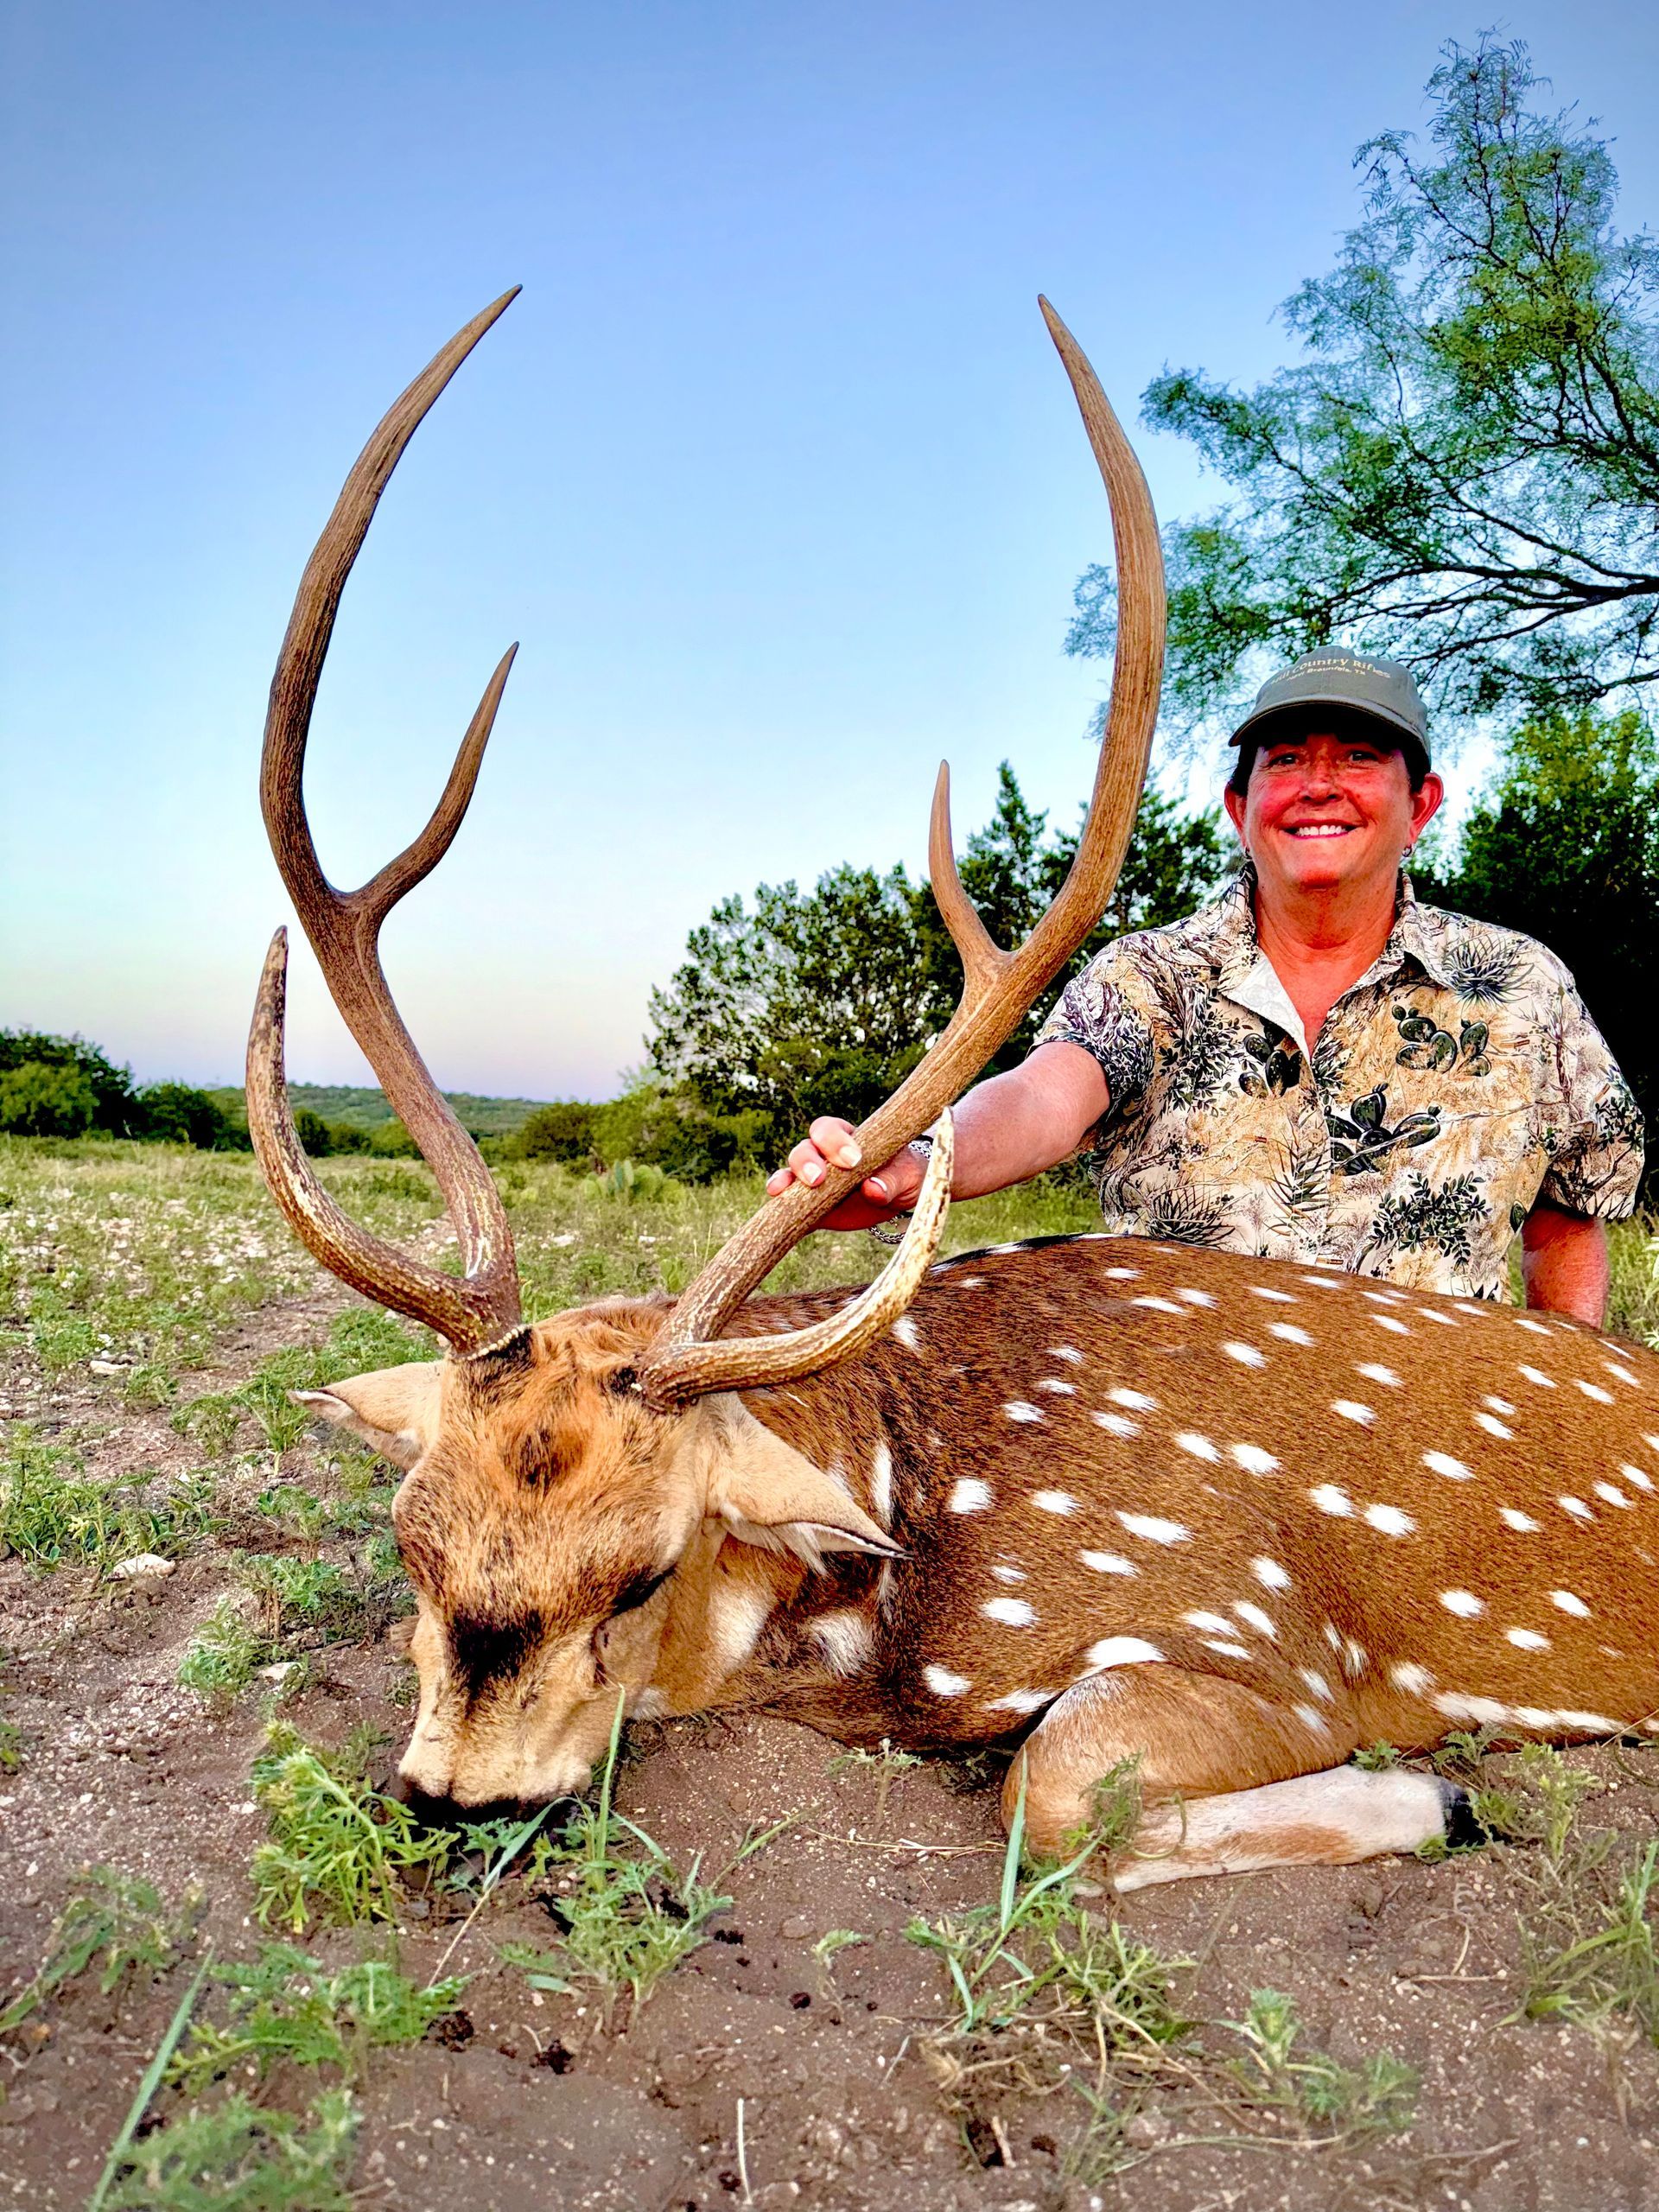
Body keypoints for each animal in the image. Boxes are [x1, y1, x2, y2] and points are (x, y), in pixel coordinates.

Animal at [246, 289, 1659, 1890]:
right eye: (409, 1542)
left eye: (643, 1575)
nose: (457, 1803)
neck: (897, 1598)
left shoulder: (1275, 1641)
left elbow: (1052, 1786)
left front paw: (1439, 1798)